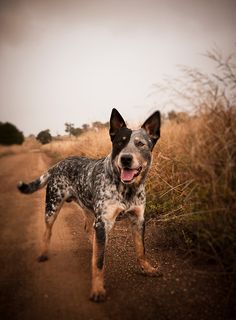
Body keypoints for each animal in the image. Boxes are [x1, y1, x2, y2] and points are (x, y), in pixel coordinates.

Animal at [18, 109, 160, 302]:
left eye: (140, 144)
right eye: (119, 143)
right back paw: (44, 253)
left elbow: (141, 249)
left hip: (88, 210)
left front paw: (147, 268)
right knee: (47, 231)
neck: (127, 189)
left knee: (88, 229)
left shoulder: (138, 219)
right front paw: (98, 289)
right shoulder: (103, 222)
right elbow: (99, 263)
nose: (125, 159)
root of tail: (57, 164)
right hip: (52, 207)